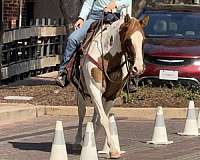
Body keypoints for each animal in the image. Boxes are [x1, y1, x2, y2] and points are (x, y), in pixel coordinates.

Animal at [73, 14, 148, 159]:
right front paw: (113, 150)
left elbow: (102, 119)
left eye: (143, 40)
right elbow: (103, 119)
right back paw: (78, 141)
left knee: (96, 115)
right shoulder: (94, 89)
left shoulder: (111, 95)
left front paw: (105, 147)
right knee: (81, 113)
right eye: (128, 40)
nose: (138, 68)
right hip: (81, 92)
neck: (108, 59)